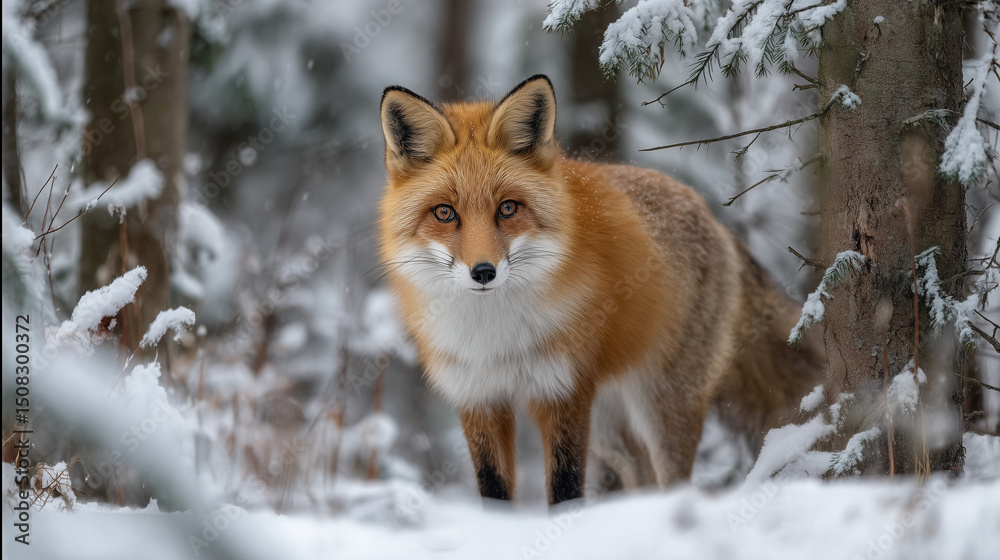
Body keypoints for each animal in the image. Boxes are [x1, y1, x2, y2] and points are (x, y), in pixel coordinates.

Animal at [376, 75, 824, 505]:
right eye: (444, 213)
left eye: (507, 208)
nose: (483, 272)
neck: (495, 335)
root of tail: (712, 216)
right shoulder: (479, 397)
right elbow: (494, 491)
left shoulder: (564, 391)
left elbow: (566, 488)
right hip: (612, 426)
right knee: (641, 477)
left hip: (661, 405)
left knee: (675, 481)